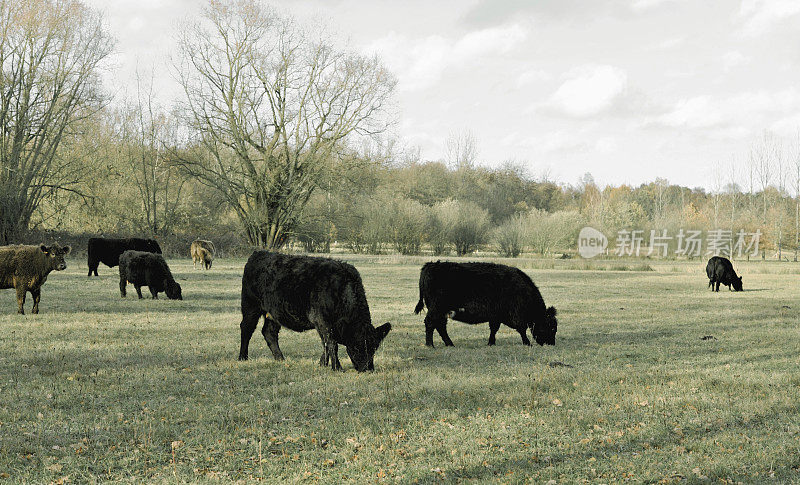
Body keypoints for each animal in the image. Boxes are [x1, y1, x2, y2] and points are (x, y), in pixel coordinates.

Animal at [239, 250, 392, 370]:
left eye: (374, 348)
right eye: (356, 346)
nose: (368, 369)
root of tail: (259, 253)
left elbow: (326, 344)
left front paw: (322, 364)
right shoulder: (321, 319)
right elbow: (332, 343)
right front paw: (337, 367)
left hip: (273, 312)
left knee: (269, 332)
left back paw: (280, 358)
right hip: (250, 305)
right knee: (246, 328)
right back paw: (242, 357)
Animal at [412, 260, 556, 348]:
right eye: (552, 327)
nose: (551, 343)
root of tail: (430, 265)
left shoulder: (496, 315)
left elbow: (494, 329)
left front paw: (491, 343)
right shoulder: (517, 315)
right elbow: (522, 329)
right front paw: (527, 343)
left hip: (441, 310)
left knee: (440, 326)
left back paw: (450, 344)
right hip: (437, 308)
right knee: (431, 323)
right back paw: (430, 345)